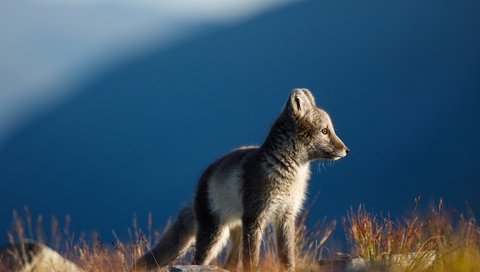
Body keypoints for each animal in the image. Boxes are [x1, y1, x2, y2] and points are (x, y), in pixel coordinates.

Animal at [132, 88, 348, 270]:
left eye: (330, 129)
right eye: (325, 131)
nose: (347, 150)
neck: (286, 172)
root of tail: (201, 181)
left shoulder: (286, 215)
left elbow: (287, 256)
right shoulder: (255, 216)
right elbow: (251, 259)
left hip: (235, 232)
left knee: (229, 263)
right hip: (215, 234)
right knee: (198, 261)